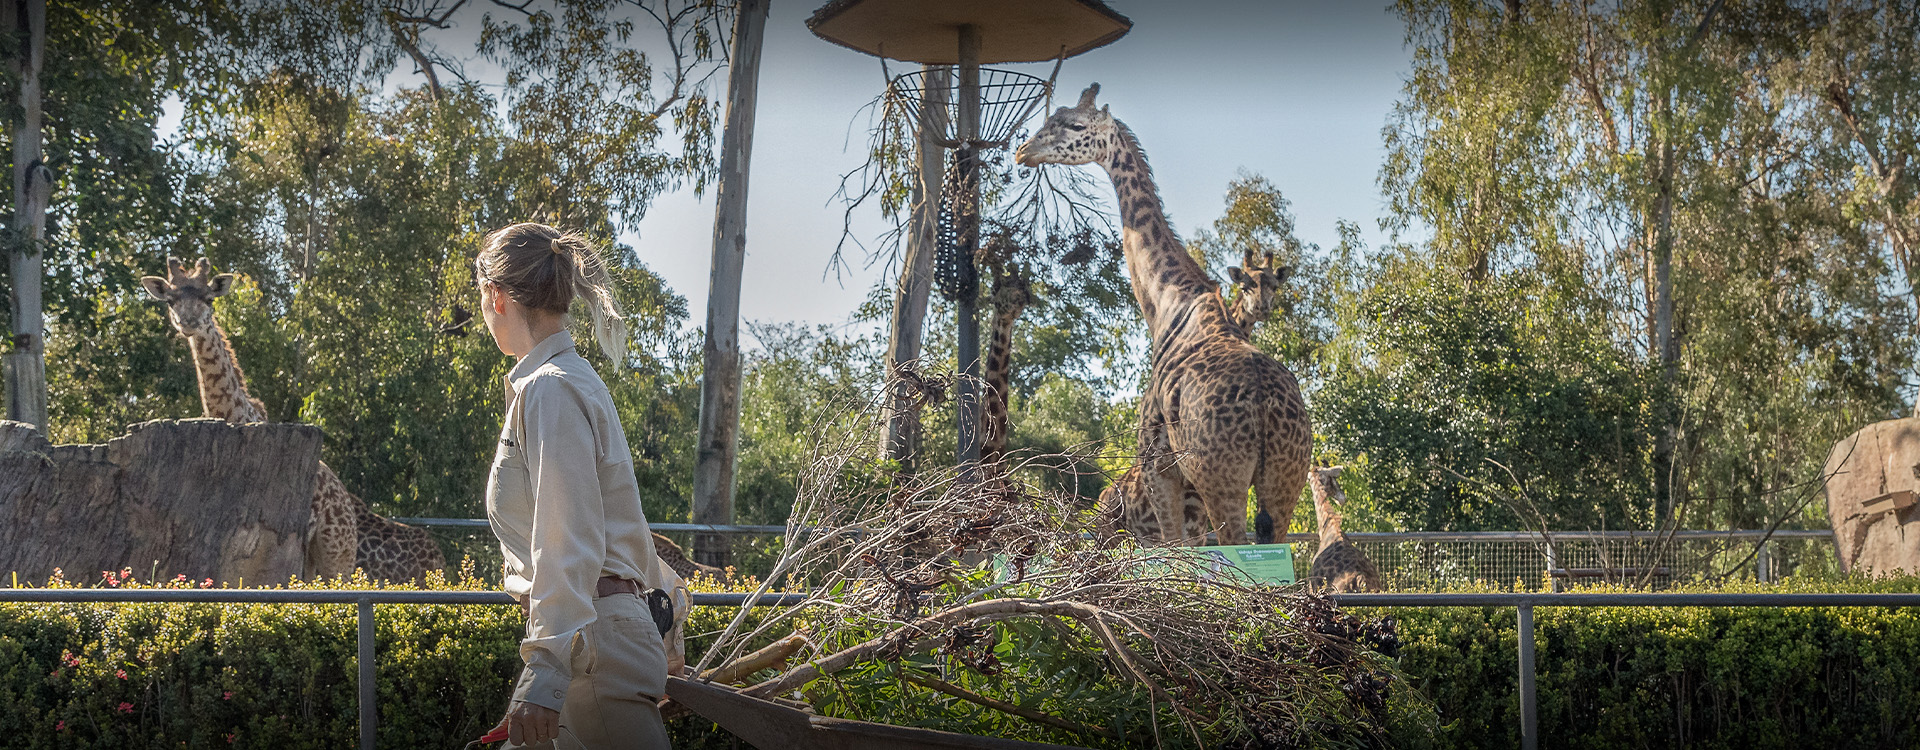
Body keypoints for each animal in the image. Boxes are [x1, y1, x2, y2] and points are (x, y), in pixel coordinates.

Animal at [1013, 85, 1313, 544]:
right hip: (1285, 479)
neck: (1167, 302)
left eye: (1075, 125)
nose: (1023, 151)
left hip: (1221, 477)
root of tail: (1267, 409)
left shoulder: (1159, 464)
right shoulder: (1184, 485)